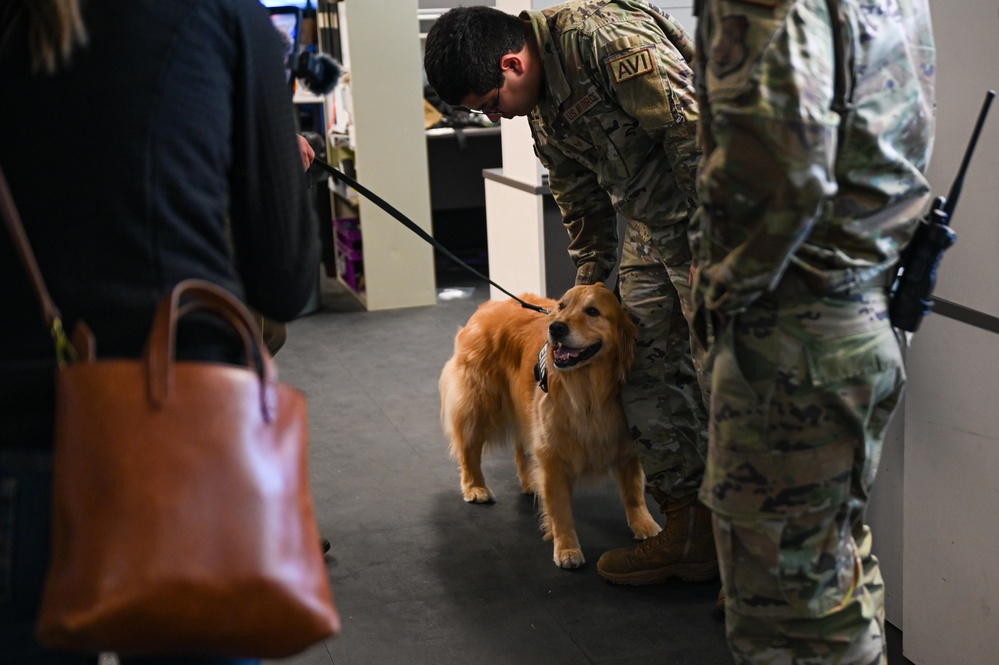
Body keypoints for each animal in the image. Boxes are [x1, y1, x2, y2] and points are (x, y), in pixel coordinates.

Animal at [440, 282, 664, 568]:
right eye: (562, 306)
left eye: (593, 311)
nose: (556, 328)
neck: (589, 392)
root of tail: (489, 305)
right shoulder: (553, 454)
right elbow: (560, 509)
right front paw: (567, 548)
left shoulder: (627, 443)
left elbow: (634, 490)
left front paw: (644, 524)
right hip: (479, 405)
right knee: (469, 449)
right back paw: (475, 487)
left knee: (521, 450)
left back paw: (530, 483)